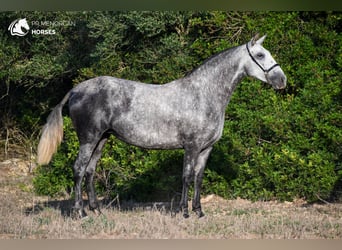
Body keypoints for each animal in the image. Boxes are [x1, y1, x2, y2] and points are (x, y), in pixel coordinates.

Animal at [36, 34, 286, 218]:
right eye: (260, 54)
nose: (281, 80)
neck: (203, 94)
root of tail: (75, 90)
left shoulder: (206, 149)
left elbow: (199, 177)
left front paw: (199, 212)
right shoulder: (191, 146)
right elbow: (186, 176)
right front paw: (183, 212)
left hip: (101, 139)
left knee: (89, 171)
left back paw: (96, 210)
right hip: (88, 139)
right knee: (78, 170)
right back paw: (80, 213)